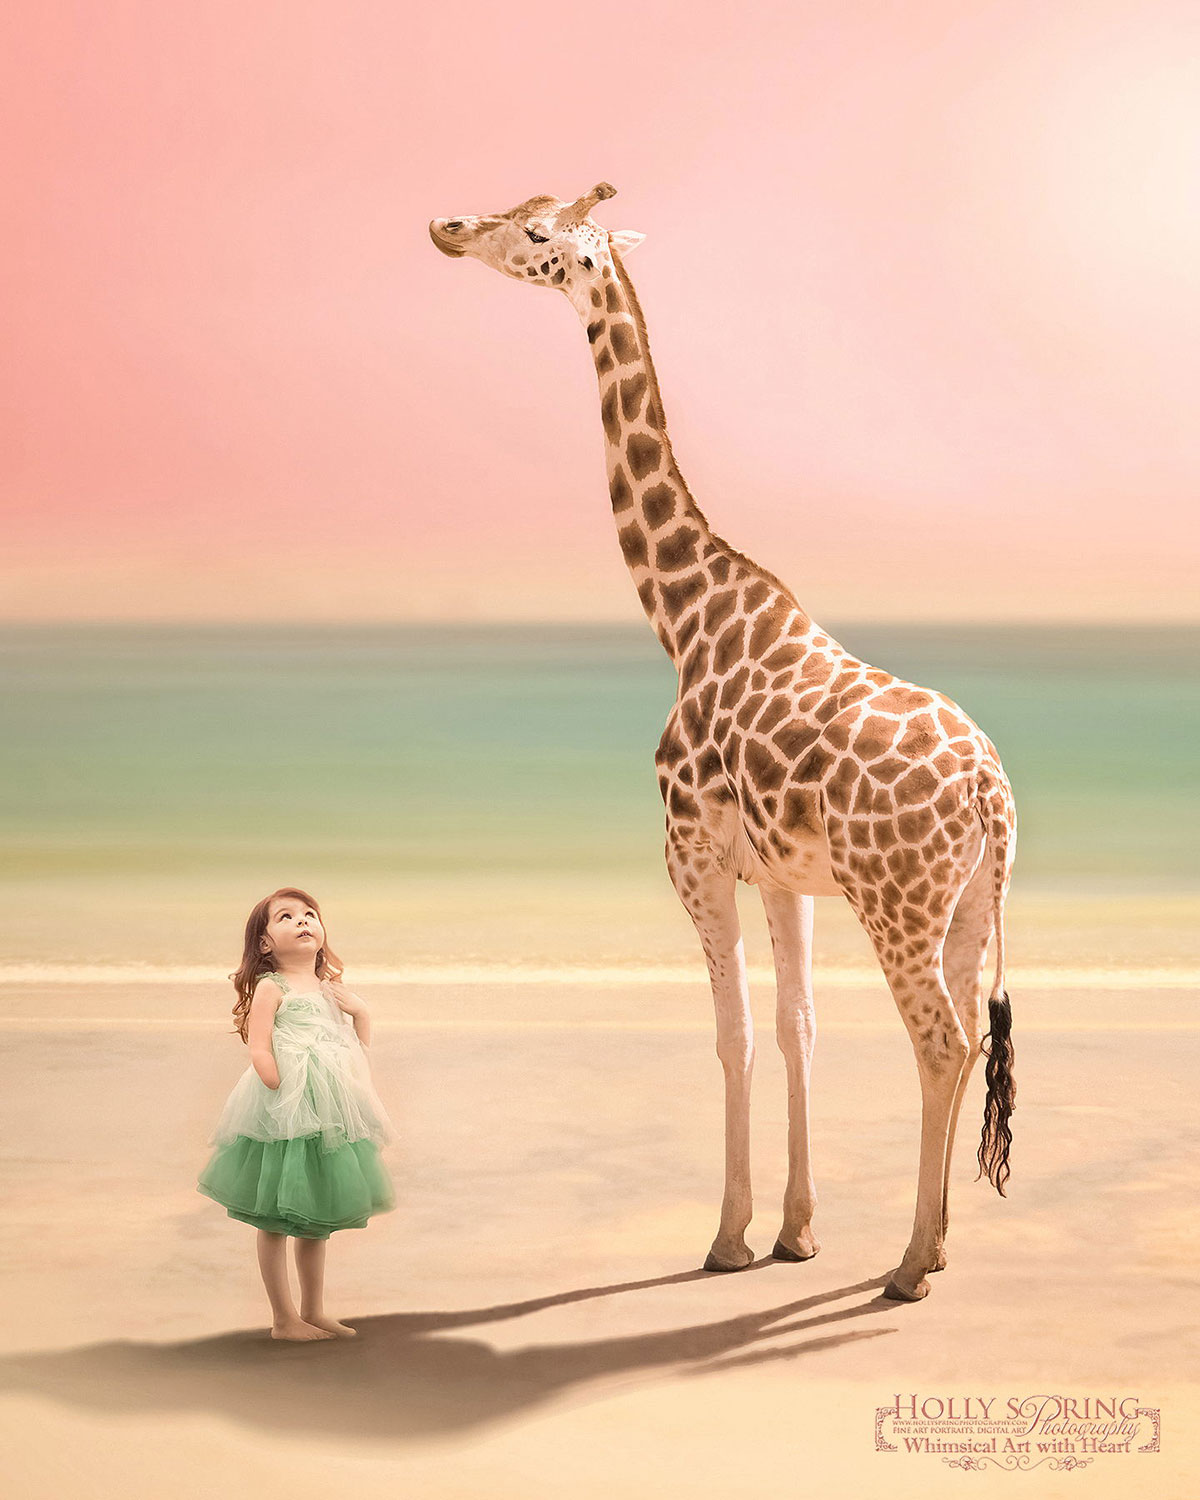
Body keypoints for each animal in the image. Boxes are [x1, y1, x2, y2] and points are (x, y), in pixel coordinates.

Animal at [429, 183, 1017, 1302]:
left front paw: (729, 1236)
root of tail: (987, 795)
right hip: (967, 904)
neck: (685, 619)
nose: (446, 229)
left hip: (897, 901)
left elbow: (732, 1032)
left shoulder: (690, 854)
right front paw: (797, 1231)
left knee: (940, 1040)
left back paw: (910, 1265)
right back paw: (942, 1243)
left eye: (534, 231)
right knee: (967, 1036)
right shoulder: (782, 874)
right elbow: (796, 1028)